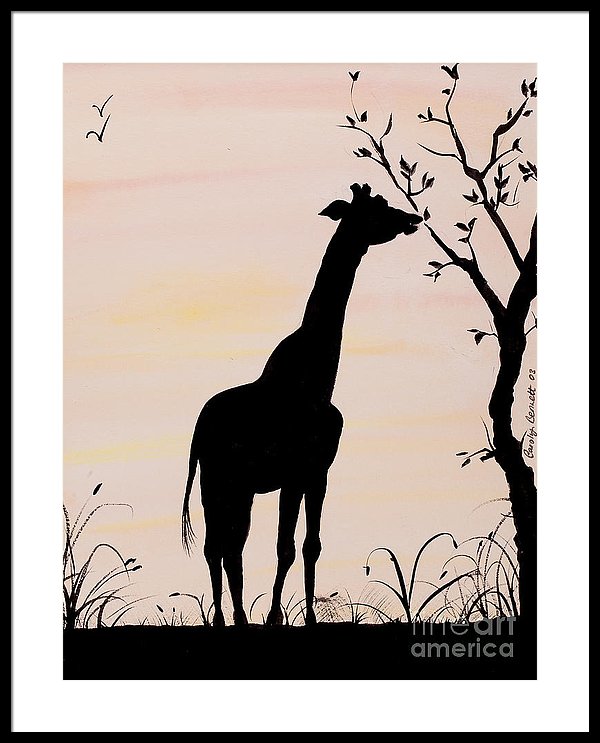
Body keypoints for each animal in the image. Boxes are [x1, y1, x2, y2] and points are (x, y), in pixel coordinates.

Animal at [181, 183, 422, 626]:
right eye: (378, 207)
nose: (412, 218)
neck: (318, 379)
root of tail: (198, 431)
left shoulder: (318, 472)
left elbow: (311, 545)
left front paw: (307, 616)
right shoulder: (295, 474)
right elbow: (286, 547)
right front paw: (276, 616)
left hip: (234, 487)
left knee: (229, 547)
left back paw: (237, 618)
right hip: (219, 481)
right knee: (218, 546)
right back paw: (227, 619)